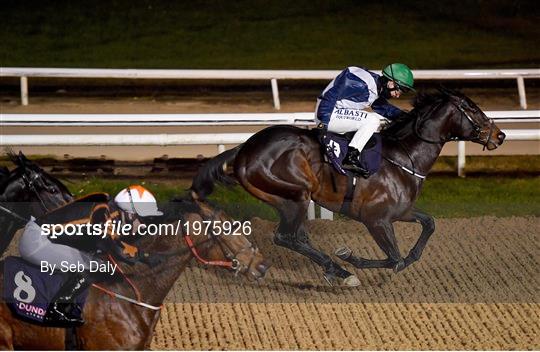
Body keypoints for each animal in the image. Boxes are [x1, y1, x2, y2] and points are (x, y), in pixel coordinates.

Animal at [193, 88, 506, 286]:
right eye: (473, 108)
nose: (500, 135)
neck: (405, 156)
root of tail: (244, 149)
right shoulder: (375, 219)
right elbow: (393, 258)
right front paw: (350, 257)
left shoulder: (400, 212)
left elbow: (428, 225)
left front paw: (408, 257)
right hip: (295, 194)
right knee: (284, 237)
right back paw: (340, 270)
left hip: (287, 200)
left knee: (297, 238)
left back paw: (335, 271)